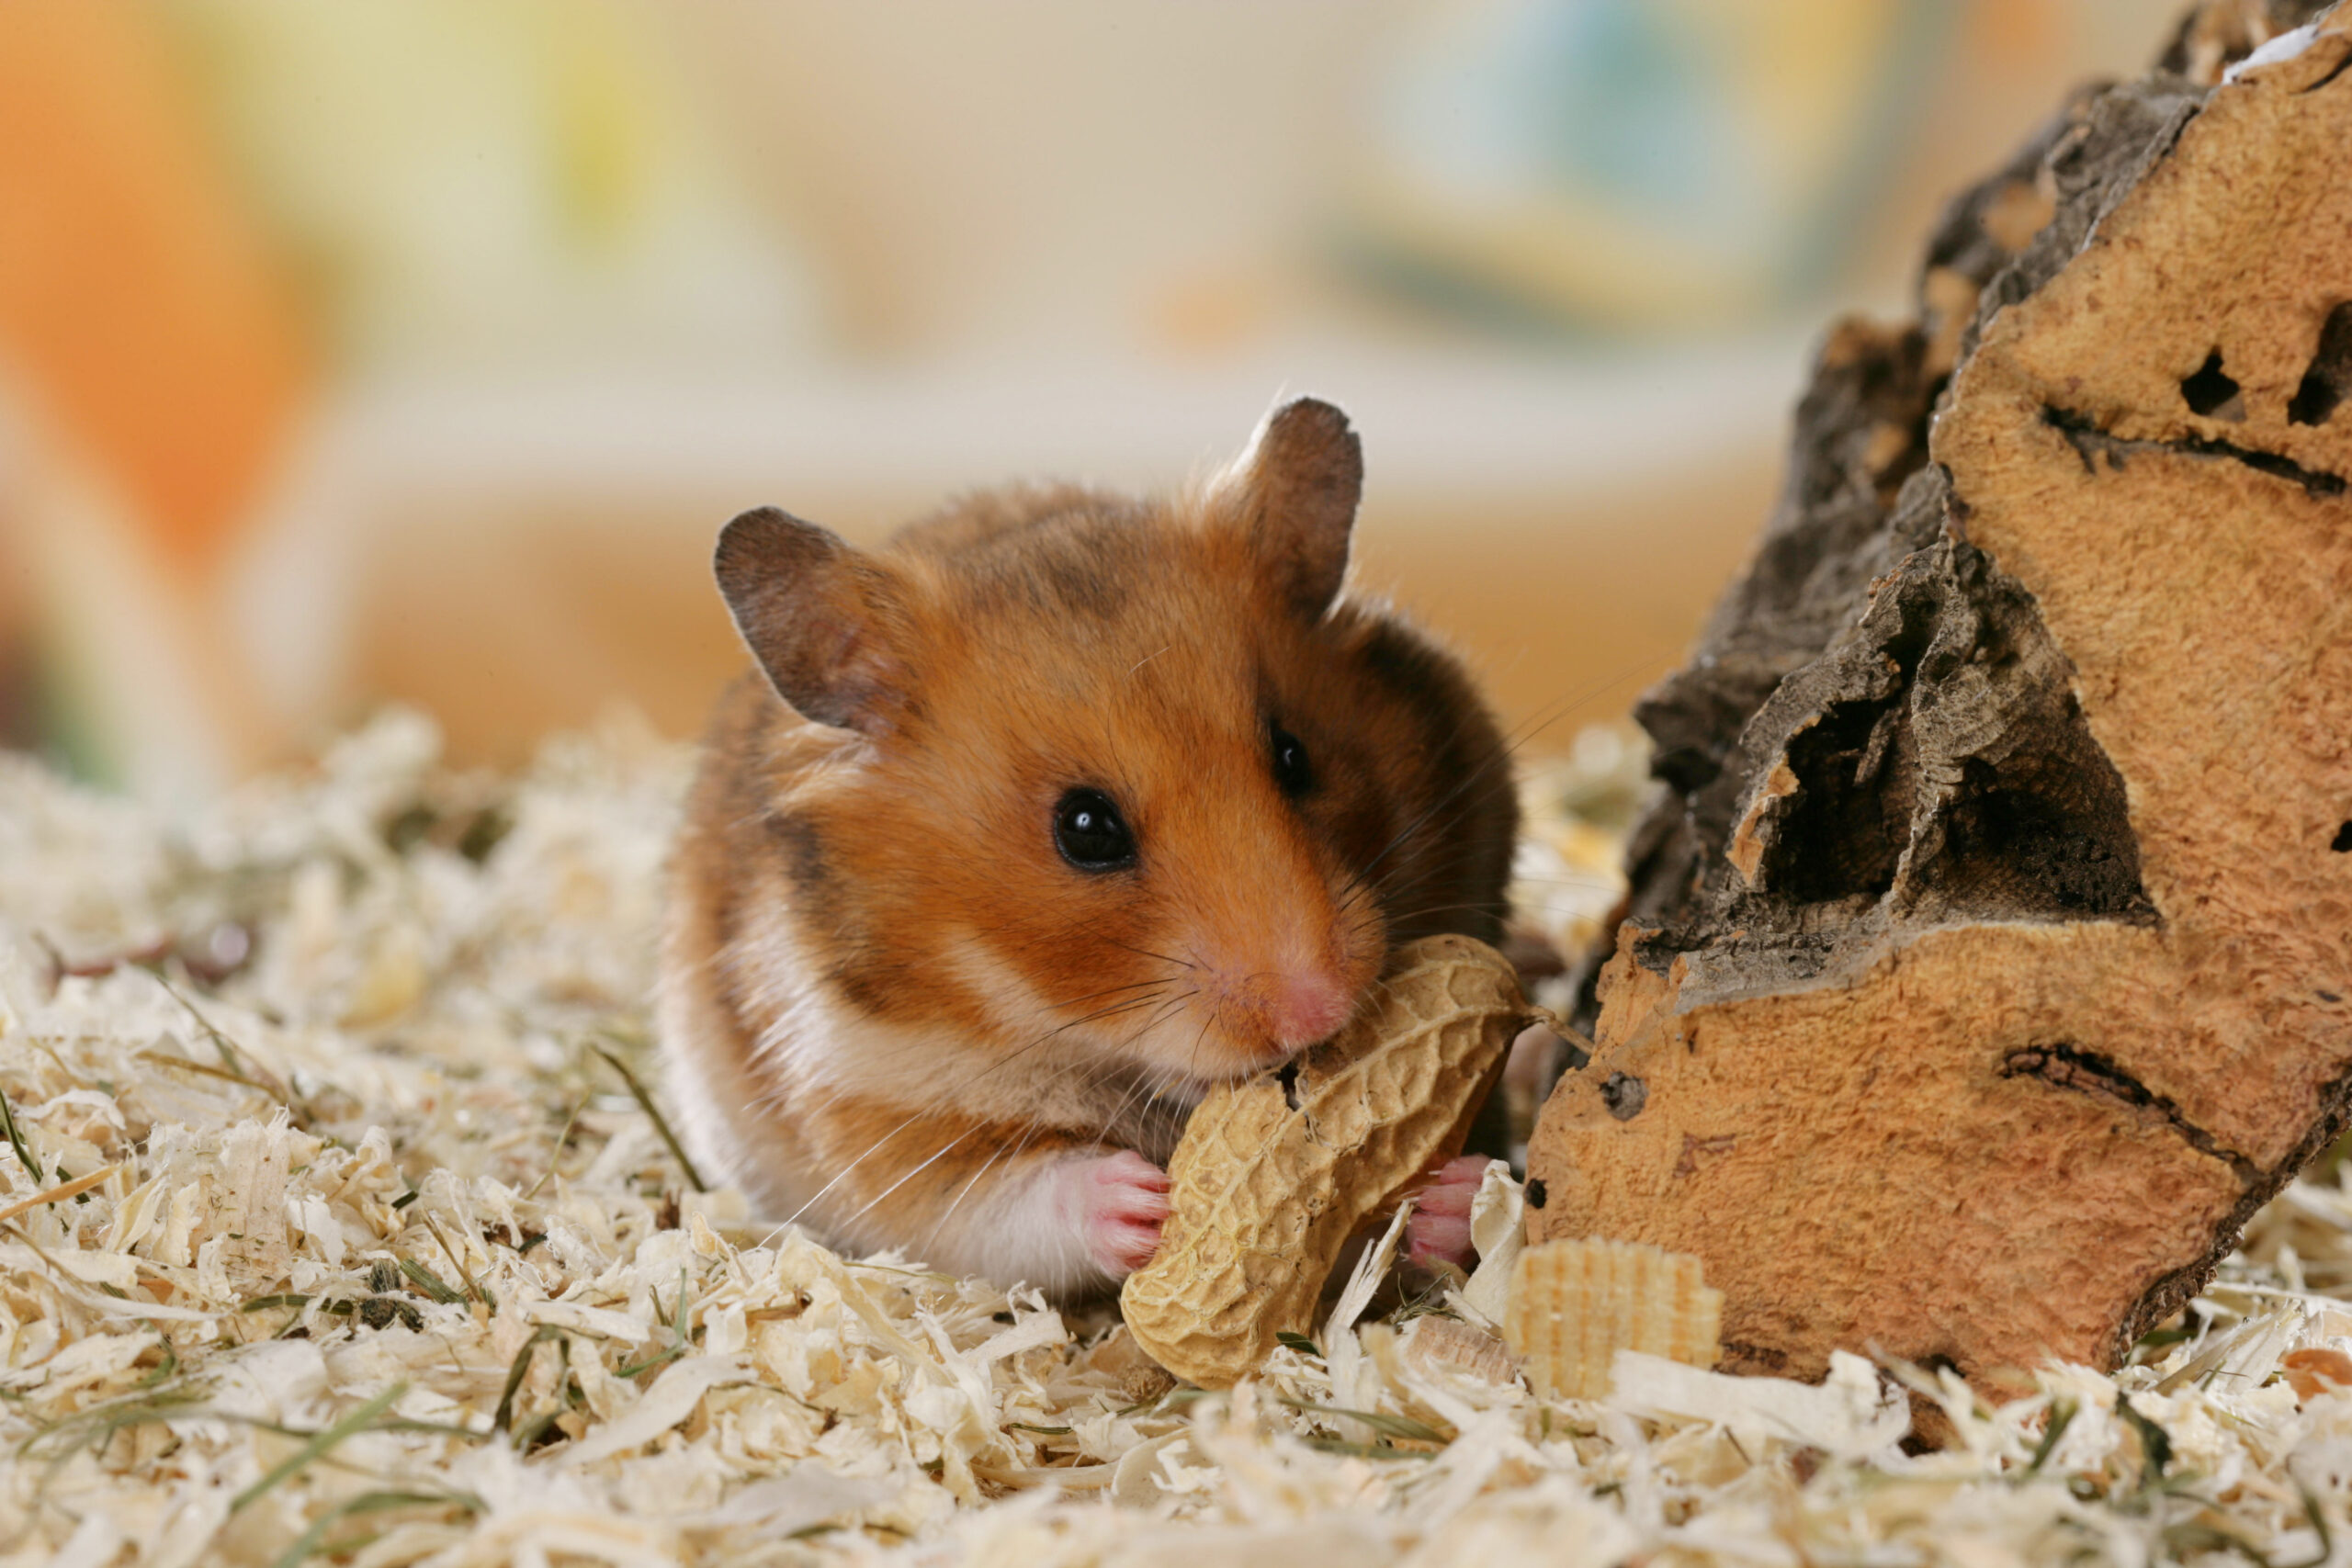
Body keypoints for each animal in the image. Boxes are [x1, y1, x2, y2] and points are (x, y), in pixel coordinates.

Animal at [653, 401, 1514, 1297]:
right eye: (1085, 828)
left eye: (1293, 756)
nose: (1318, 1008)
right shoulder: (876, 1122)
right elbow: (1007, 1202)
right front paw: (1148, 1203)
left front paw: (1452, 1191)